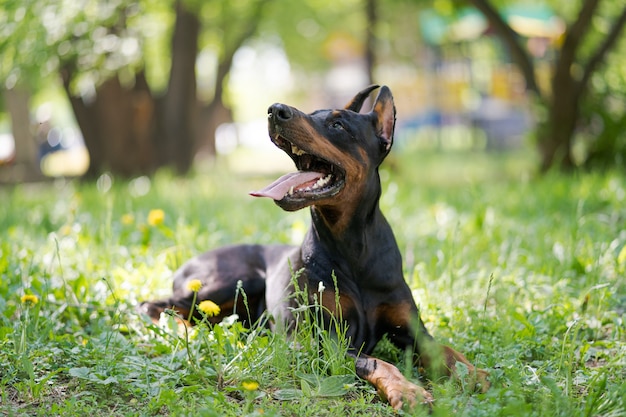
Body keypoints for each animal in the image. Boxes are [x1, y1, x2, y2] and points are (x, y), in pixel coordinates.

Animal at [141, 85, 488, 410]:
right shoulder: (328, 342)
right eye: (312, 113)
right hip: (235, 279)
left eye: (337, 124)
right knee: (156, 305)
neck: (353, 247)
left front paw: (473, 373)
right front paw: (409, 391)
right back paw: (183, 329)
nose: (275, 109)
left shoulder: (412, 328)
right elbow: (379, 362)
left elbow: (442, 349)